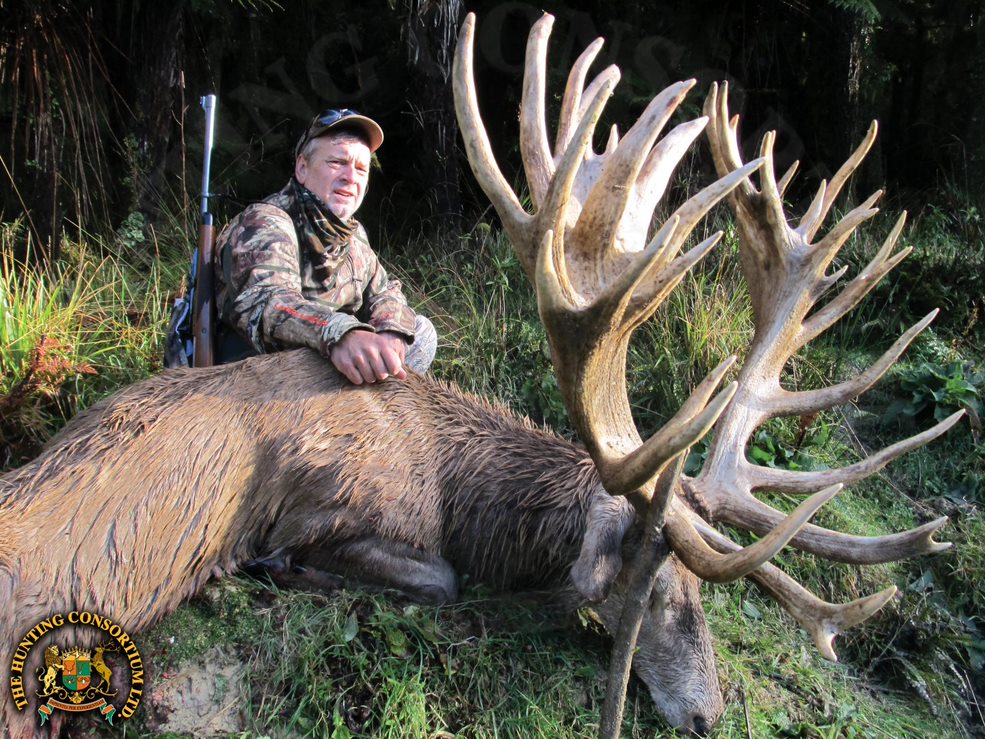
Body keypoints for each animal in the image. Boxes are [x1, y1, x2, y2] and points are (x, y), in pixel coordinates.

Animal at [0, 11, 961, 739]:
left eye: (696, 589)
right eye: (655, 586)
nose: (707, 716)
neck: (458, 494)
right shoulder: (330, 507)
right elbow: (436, 579)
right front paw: (281, 569)